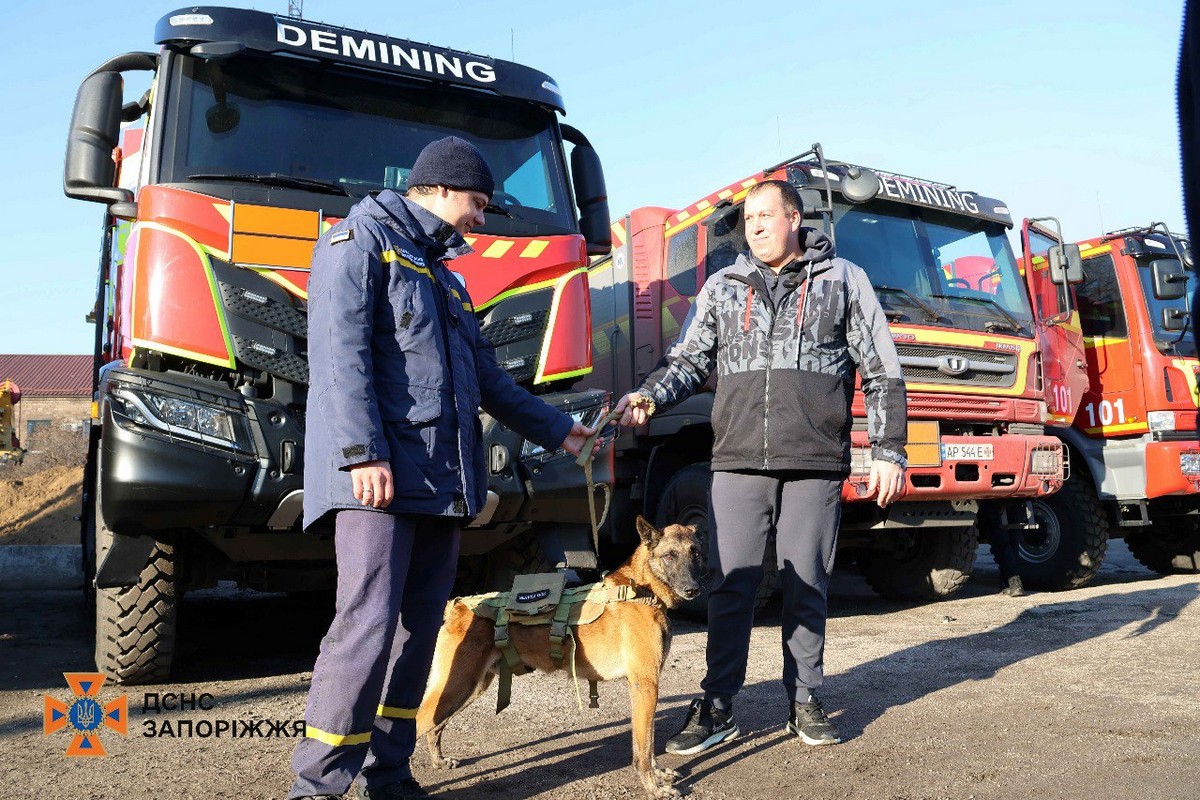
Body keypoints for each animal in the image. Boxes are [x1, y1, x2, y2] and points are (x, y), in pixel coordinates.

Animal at [420, 515, 705, 796]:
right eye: (669, 556)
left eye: (696, 552)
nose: (693, 589)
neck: (642, 590)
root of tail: (457, 606)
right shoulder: (645, 685)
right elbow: (643, 748)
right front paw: (654, 788)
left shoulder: (647, 688)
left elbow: (650, 742)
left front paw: (659, 776)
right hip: (456, 687)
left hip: (470, 687)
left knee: (434, 727)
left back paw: (438, 762)